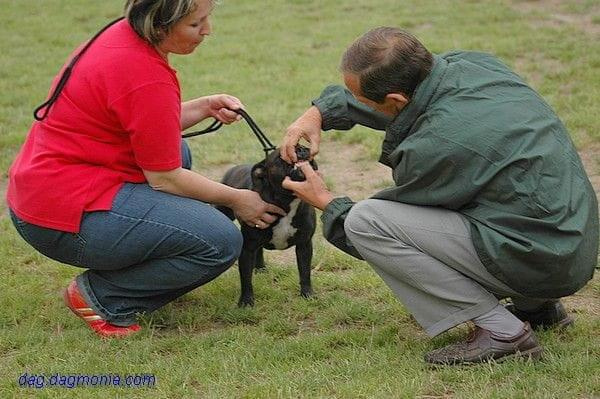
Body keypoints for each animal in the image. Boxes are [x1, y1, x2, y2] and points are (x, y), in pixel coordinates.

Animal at [217, 146, 318, 306]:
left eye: (306, 147)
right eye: (280, 156)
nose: (302, 150)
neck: (287, 202)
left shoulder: (304, 244)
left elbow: (305, 271)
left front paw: (307, 294)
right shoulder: (247, 248)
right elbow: (246, 278)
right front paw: (246, 301)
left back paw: (260, 268)